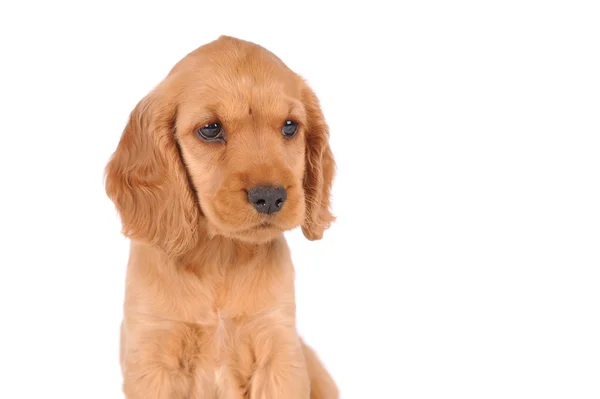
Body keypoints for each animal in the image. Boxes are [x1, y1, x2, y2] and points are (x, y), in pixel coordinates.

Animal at [103, 36, 338, 398]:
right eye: (211, 129)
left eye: (290, 126)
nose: (270, 196)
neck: (219, 253)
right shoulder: (153, 351)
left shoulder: (277, 347)